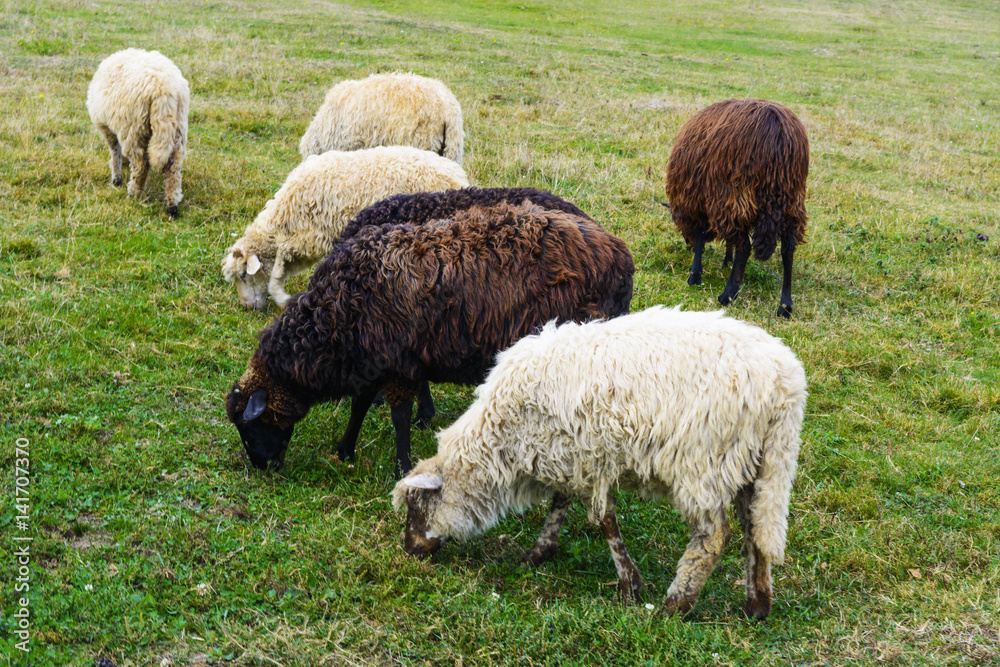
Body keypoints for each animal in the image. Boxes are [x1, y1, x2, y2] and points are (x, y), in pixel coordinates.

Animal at [86, 48, 190, 218]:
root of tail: (163, 90)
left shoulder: (106, 127)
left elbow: (114, 151)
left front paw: (116, 178)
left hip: (133, 129)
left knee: (141, 164)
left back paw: (134, 194)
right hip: (177, 127)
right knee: (173, 167)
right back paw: (172, 206)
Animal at [220, 145, 469, 309]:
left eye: (243, 275)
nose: (247, 306)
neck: (285, 216)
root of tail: (458, 175)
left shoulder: (309, 237)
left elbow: (279, 266)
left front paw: (281, 296)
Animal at [225, 200, 635, 479]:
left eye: (248, 428)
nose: (263, 466)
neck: (337, 318)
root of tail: (619, 252)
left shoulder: (400, 367)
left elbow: (399, 418)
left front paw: (402, 467)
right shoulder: (374, 364)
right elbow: (360, 406)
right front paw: (345, 450)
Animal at [394, 306, 807, 621]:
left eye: (418, 505)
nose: (409, 550)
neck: (500, 444)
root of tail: (786, 384)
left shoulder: (590, 461)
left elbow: (605, 521)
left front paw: (629, 585)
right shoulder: (568, 456)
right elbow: (561, 503)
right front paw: (540, 552)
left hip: (704, 461)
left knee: (714, 537)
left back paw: (675, 604)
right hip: (754, 460)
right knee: (756, 528)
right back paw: (757, 604)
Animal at [665, 98, 809, 318]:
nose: (686, 245)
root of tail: (778, 132)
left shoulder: (700, 201)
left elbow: (700, 236)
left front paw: (695, 275)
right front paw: (726, 260)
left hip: (734, 192)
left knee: (745, 247)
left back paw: (728, 295)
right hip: (791, 201)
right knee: (788, 249)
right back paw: (785, 306)